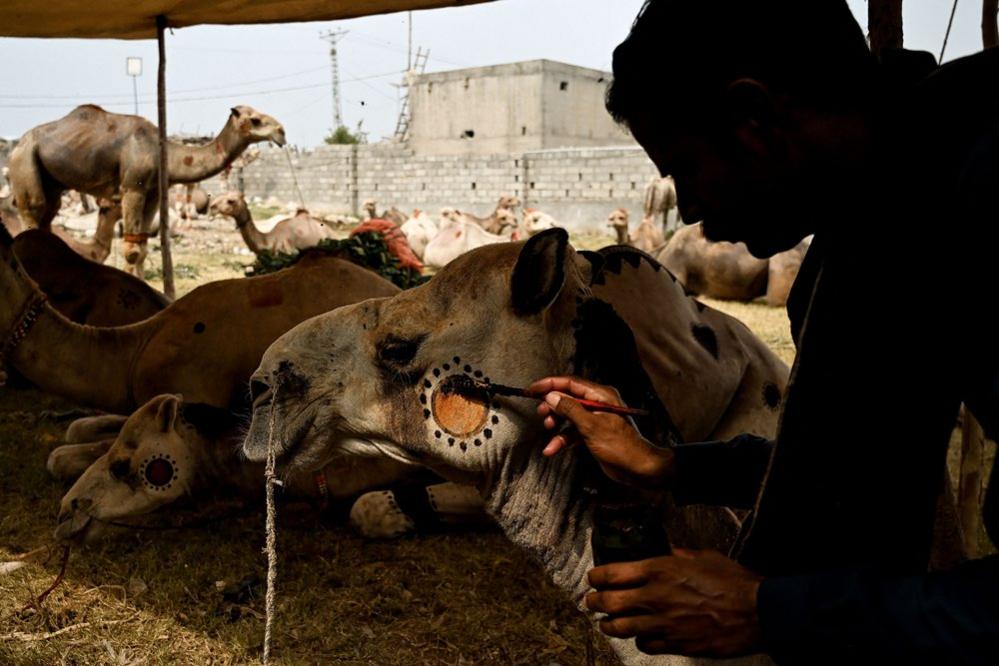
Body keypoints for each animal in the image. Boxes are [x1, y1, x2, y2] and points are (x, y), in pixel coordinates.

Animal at [8, 103, 286, 278]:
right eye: (255, 120)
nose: (281, 132)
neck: (163, 151)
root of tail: (16, 146)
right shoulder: (133, 188)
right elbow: (131, 252)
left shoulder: (153, 193)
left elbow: (141, 249)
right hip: (25, 162)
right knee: (33, 208)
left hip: (51, 182)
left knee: (49, 214)